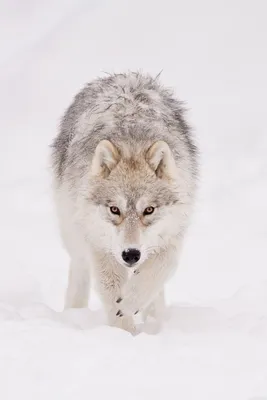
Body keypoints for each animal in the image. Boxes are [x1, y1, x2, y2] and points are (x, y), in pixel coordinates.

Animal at [51, 72, 199, 334]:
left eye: (148, 210)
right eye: (114, 209)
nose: (131, 255)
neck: (132, 143)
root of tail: (122, 75)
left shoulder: (172, 236)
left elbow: (159, 270)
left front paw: (133, 303)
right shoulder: (100, 247)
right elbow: (111, 293)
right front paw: (125, 335)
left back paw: (154, 317)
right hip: (73, 229)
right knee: (79, 266)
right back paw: (74, 312)